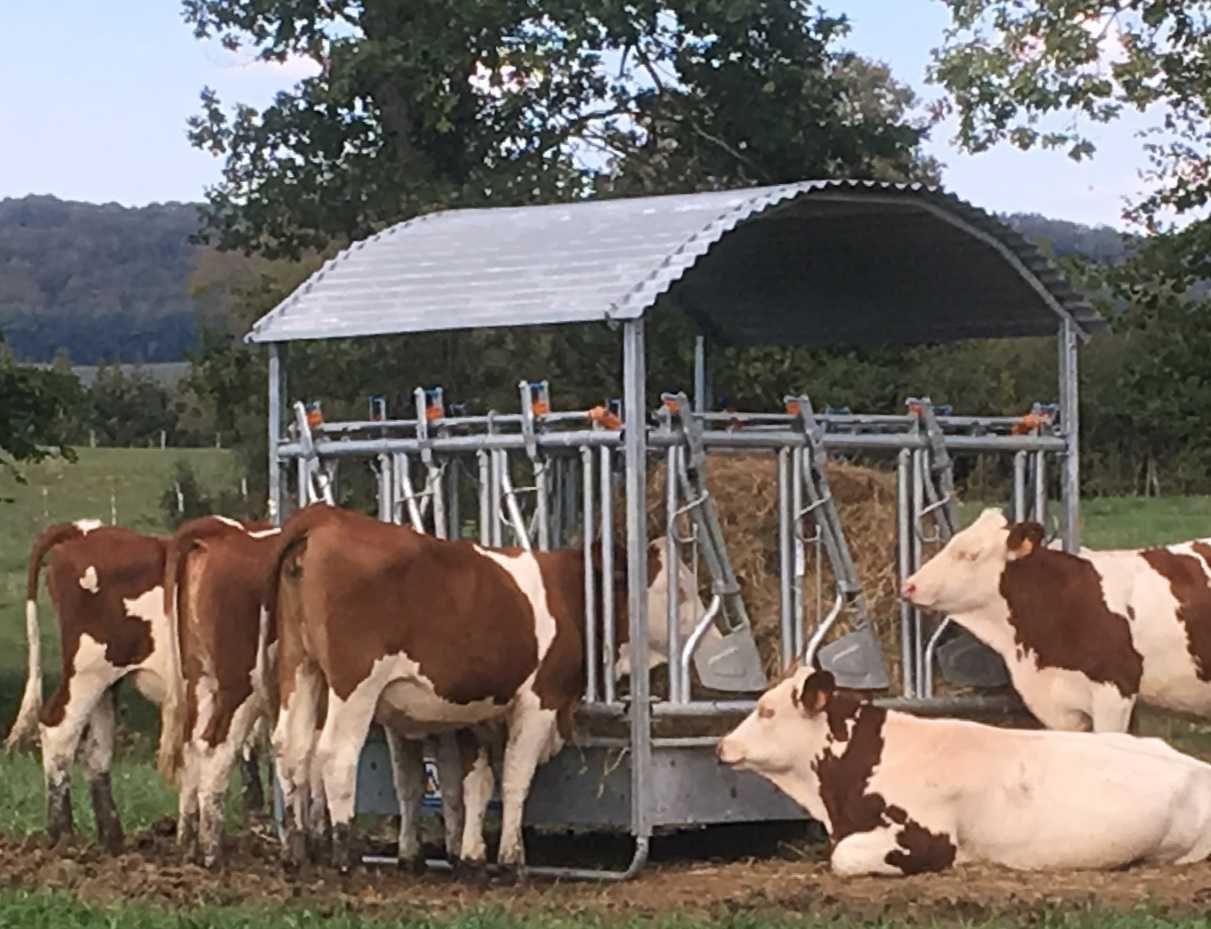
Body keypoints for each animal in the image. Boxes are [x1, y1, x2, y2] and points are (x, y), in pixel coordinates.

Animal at [8, 518, 265, 852]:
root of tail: (82, 530)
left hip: (107, 682)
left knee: (97, 748)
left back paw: (112, 839)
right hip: (88, 669)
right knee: (60, 728)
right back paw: (62, 835)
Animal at [260, 501, 707, 872]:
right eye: (679, 591)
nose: (709, 630)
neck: (566, 594)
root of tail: (325, 516)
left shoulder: (477, 710)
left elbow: (470, 783)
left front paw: (470, 856)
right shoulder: (540, 698)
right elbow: (514, 777)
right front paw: (511, 860)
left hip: (300, 668)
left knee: (291, 747)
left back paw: (295, 851)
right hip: (355, 685)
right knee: (335, 756)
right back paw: (344, 857)